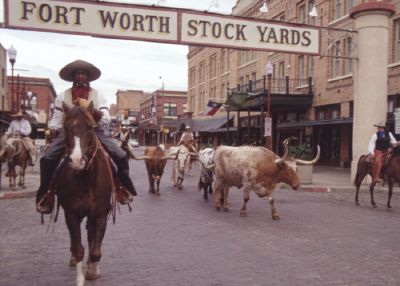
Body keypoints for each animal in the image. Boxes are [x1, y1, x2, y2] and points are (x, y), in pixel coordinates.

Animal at [54, 103, 114, 286]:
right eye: (66, 128)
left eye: (89, 127)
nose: (76, 161)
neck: (86, 179)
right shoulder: (71, 213)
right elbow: (78, 248)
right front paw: (80, 278)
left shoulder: (101, 213)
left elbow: (95, 250)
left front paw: (93, 271)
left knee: (91, 237)